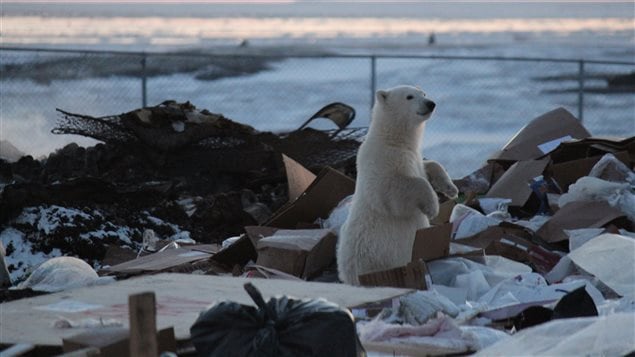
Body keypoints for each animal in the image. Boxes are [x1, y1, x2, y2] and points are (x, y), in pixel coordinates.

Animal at [338, 85, 458, 286]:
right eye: (409, 97)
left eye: (423, 93)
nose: (430, 104)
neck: (392, 139)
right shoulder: (383, 159)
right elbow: (392, 190)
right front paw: (432, 207)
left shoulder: (413, 155)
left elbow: (428, 166)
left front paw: (451, 189)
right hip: (376, 259)